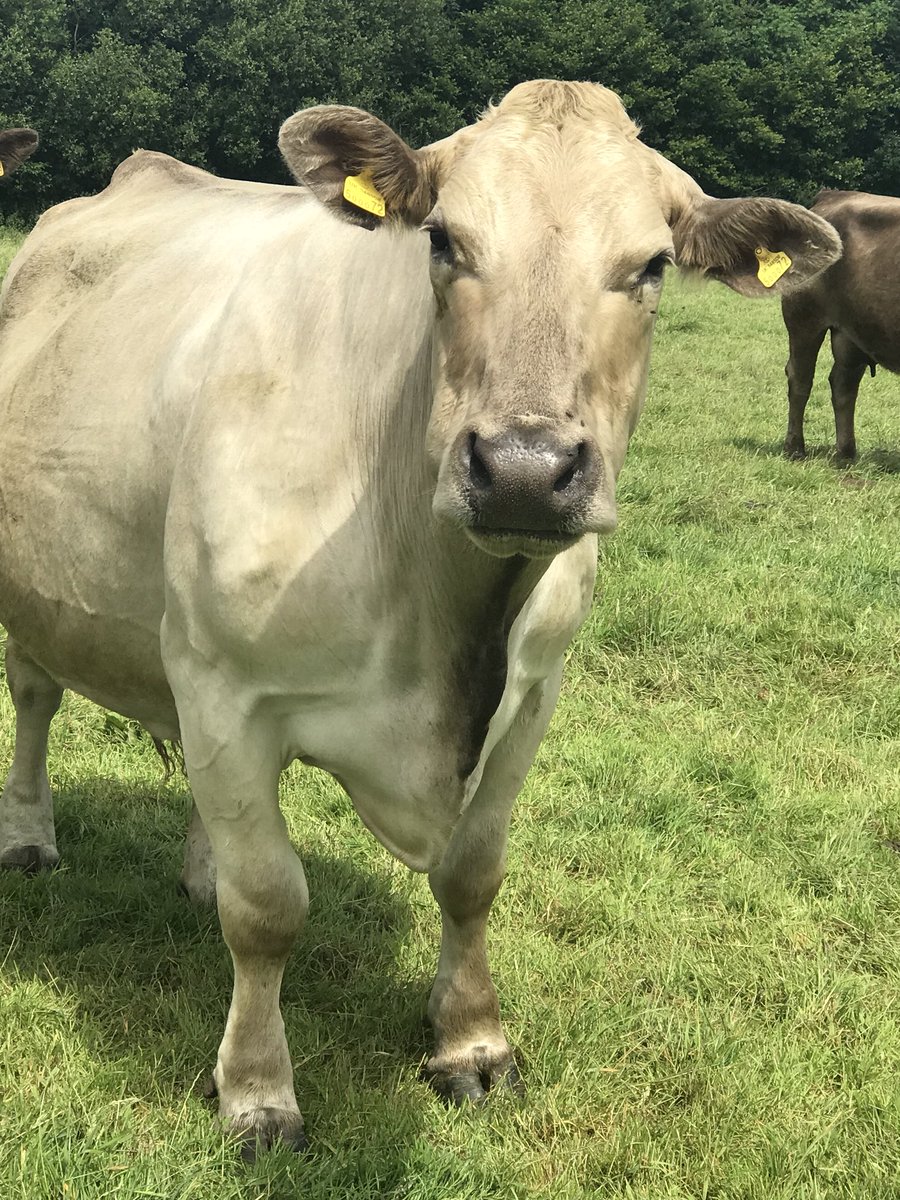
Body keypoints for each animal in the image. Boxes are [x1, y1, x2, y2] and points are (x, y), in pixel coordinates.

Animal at [0, 81, 840, 1155]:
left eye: (653, 264)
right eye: (442, 239)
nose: (523, 468)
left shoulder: (533, 693)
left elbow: (474, 873)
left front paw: (471, 1043)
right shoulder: (228, 687)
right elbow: (267, 907)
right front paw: (258, 1091)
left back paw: (197, 866)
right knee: (34, 694)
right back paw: (30, 835)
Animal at [783, 189, 899, 460]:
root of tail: (831, 196)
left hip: (853, 333)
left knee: (843, 385)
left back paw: (845, 454)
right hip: (804, 320)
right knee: (800, 378)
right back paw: (795, 448)